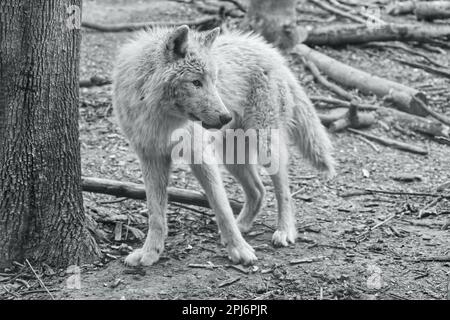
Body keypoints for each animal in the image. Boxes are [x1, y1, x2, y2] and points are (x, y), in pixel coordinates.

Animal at [113, 25, 334, 266]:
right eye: (196, 82)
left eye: (214, 81)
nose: (225, 117)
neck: (160, 117)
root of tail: (272, 53)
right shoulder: (150, 157)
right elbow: (155, 212)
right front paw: (151, 252)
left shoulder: (200, 155)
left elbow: (221, 206)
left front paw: (239, 250)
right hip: (231, 159)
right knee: (259, 191)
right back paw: (242, 225)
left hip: (265, 147)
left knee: (283, 190)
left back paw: (284, 230)